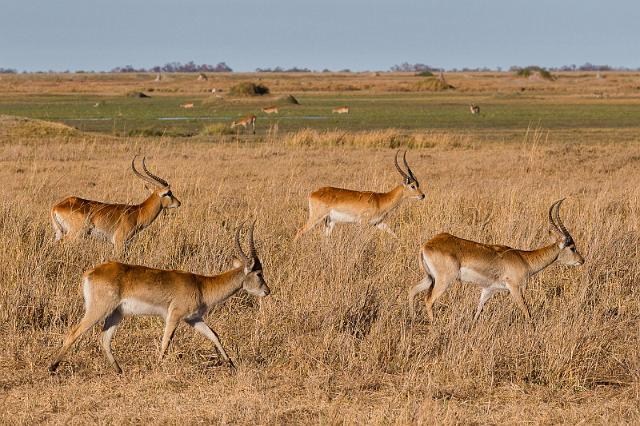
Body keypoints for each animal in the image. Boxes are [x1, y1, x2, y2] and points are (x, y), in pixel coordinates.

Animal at [49, 156, 180, 250]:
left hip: (59, 233)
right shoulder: (119, 242)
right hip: (75, 234)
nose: (178, 203)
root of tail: (56, 206)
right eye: (168, 193)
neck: (137, 213)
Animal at [49, 221, 270, 374]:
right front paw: (157, 366)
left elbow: (214, 335)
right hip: (98, 309)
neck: (201, 285)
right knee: (74, 332)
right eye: (259, 273)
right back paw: (52, 367)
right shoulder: (174, 316)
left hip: (116, 314)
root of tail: (91, 272)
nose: (267, 291)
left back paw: (119, 371)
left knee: (104, 339)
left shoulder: (193, 318)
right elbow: (166, 341)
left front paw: (231, 364)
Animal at [296, 150, 424, 240]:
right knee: (300, 231)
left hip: (329, 221)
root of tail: (313, 193)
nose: (422, 195)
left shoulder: (378, 223)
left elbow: (393, 233)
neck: (380, 199)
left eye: (418, 184)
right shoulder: (363, 223)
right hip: (316, 217)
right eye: (413, 186)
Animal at [410, 200, 584, 322]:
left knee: (412, 290)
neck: (524, 259)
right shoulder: (514, 288)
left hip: (430, 278)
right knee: (428, 300)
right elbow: (526, 309)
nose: (582, 260)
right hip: (444, 280)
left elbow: (478, 311)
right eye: (572, 247)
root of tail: (427, 245)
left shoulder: (488, 289)